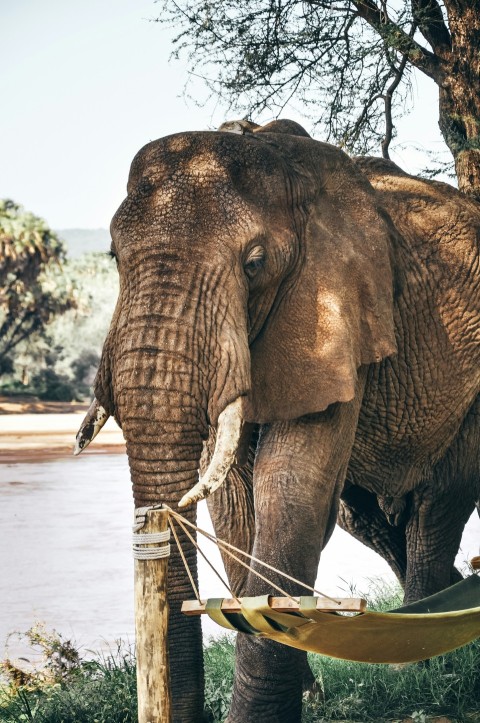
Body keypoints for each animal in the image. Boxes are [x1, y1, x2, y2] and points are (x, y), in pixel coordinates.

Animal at [75, 117, 480, 720]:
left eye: (255, 264)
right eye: (113, 256)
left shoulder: (335, 311)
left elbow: (288, 481)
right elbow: (234, 500)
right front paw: (306, 691)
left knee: (438, 504)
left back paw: (420, 667)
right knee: (367, 517)